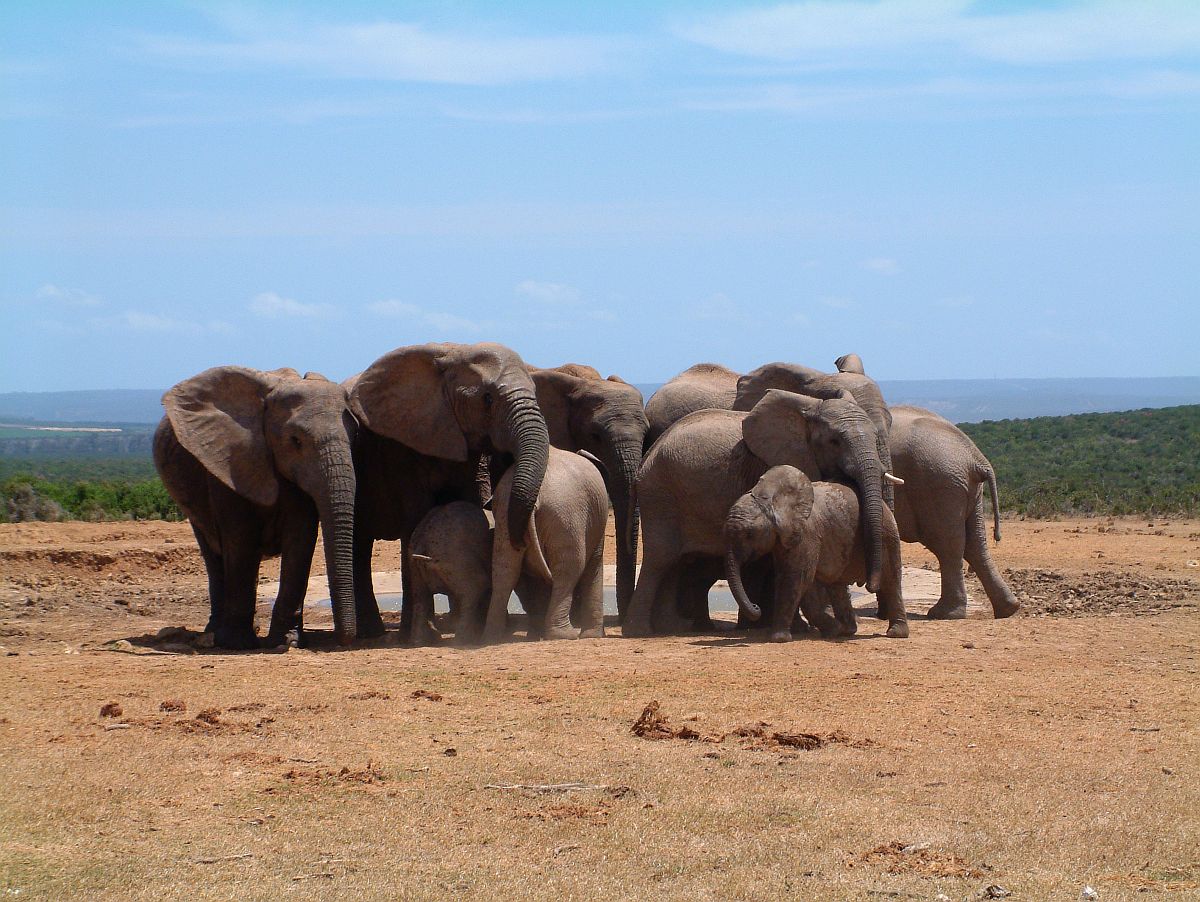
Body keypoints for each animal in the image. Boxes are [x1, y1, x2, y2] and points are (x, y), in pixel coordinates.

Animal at [152, 367, 355, 647]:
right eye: (295, 441)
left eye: (355, 436)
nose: (344, 640)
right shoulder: (230, 463)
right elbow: (240, 538)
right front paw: (237, 643)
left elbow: (300, 539)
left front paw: (286, 642)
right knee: (214, 553)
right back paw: (215, 633)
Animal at [720, 465, 907, 642]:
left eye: (749, 534)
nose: (756, 607)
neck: (771, 499)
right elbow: (789, 578)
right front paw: (833, 630)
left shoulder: (806, 534)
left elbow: (797, 578)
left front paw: (779, 639)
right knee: (837, 585)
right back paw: (847, 631)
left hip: (887, 534)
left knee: (891, 580)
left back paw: (895, 633)